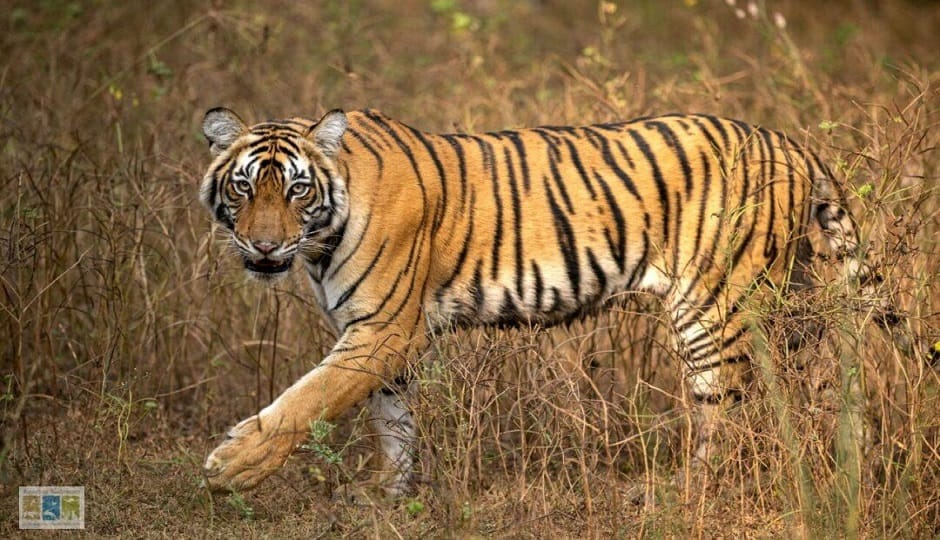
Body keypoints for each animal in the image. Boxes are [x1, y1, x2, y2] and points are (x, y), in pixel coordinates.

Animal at [198, 107, 896, 496]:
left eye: (297, 190)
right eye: (244, 187)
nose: (263, 246)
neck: (321, 238)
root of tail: (790, 142)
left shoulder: (383, 329)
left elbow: (307, 400)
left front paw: (232, 467)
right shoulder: (380, 337)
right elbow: (392, 421)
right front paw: (390, 496)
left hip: (714, 307)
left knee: (725, 413)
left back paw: (688, 493)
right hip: (789, 299)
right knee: (806, 384)